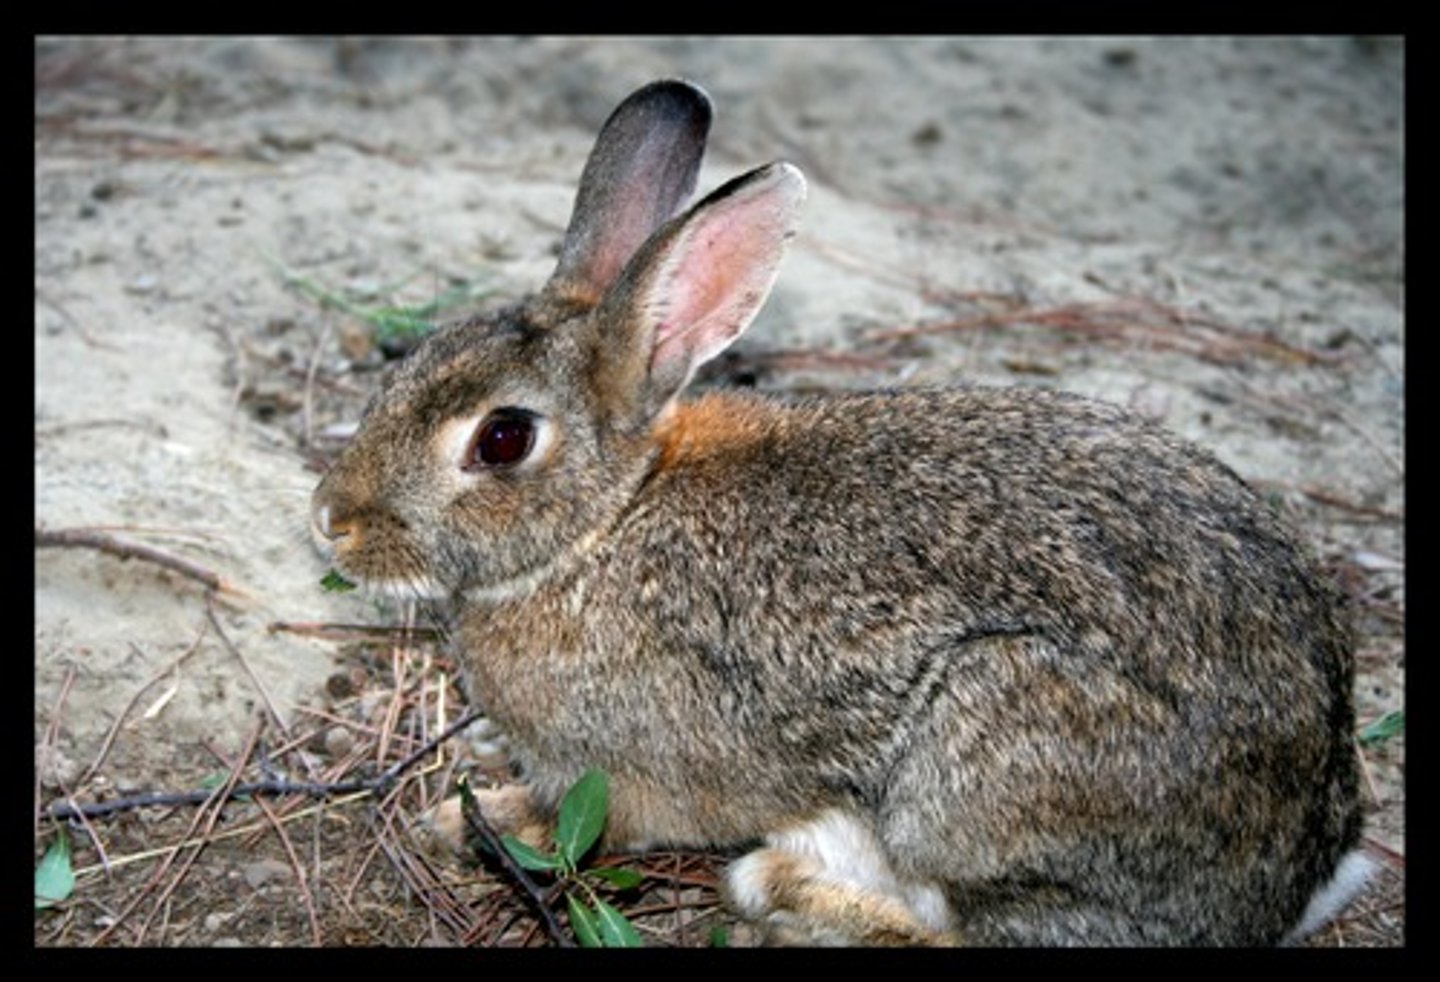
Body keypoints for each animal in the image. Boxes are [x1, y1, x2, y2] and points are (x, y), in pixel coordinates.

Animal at [310, 78, 1372, 946]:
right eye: (419, 356)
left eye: (501, 440)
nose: (330, 518)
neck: (605, 521)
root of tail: (1302, 870)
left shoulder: (632, 778)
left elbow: (597, 819)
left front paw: (473, 817)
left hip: (980, 760)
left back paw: (786, 890)